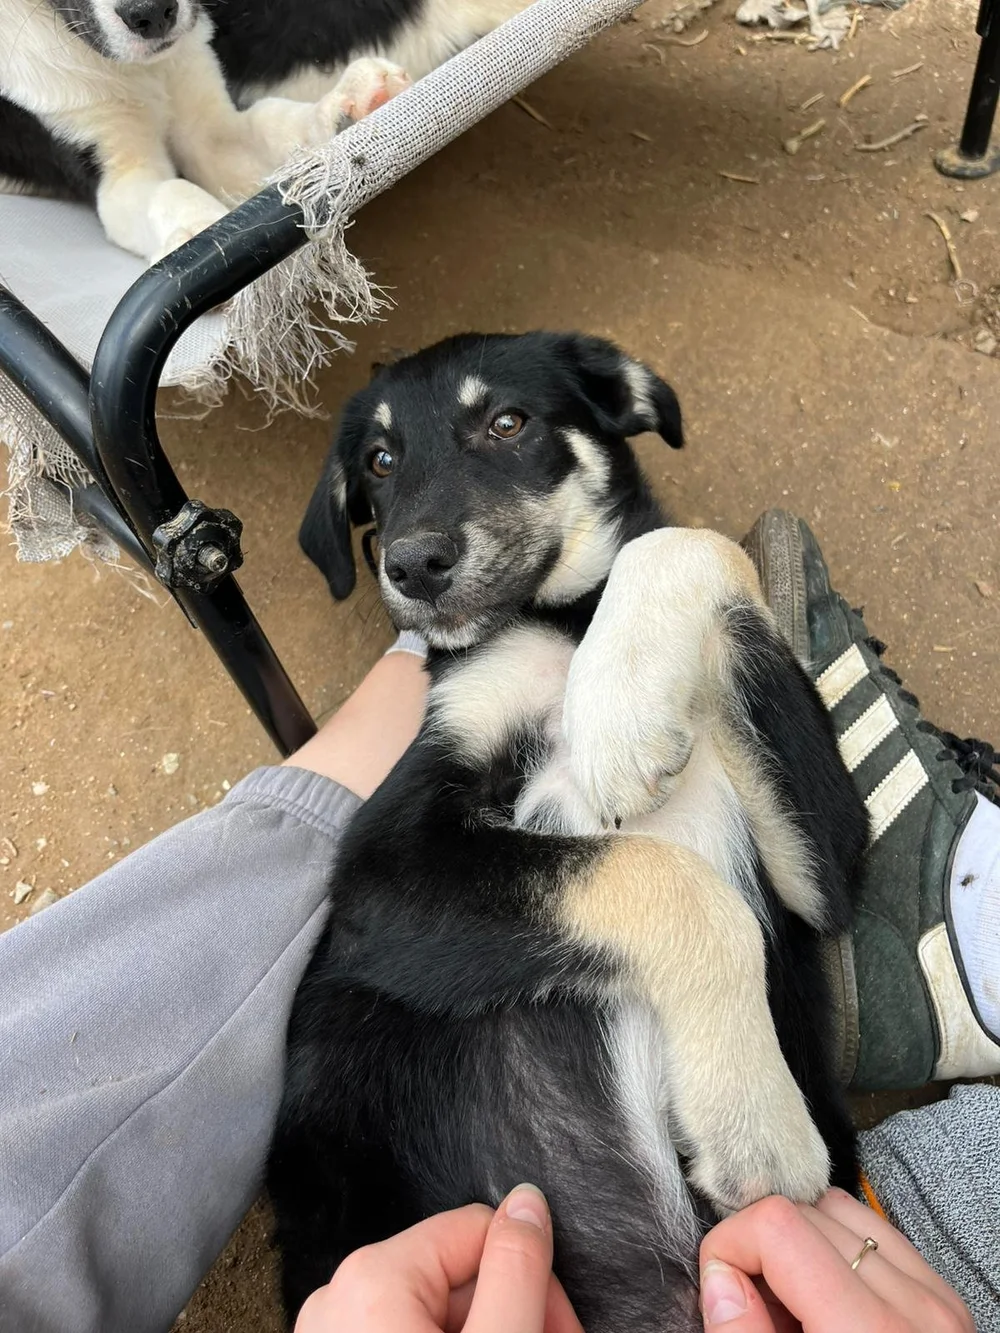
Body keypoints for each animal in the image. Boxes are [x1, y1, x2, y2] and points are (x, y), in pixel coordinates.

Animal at [0, 0, 530, 261]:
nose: (152, 15)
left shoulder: (212, 129)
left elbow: (274, 122)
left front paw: (350, 108)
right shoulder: (116, 175)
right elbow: (171, 191)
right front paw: (197, 246)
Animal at [267, 331, 870, 1331]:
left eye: (509, 422)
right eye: (380, 461)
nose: (411, 564)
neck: (563, 619)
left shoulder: (826, 873)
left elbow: (687, 542)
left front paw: (619, 703)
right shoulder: (381, 872)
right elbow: (672, 884)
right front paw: (761, 1124)